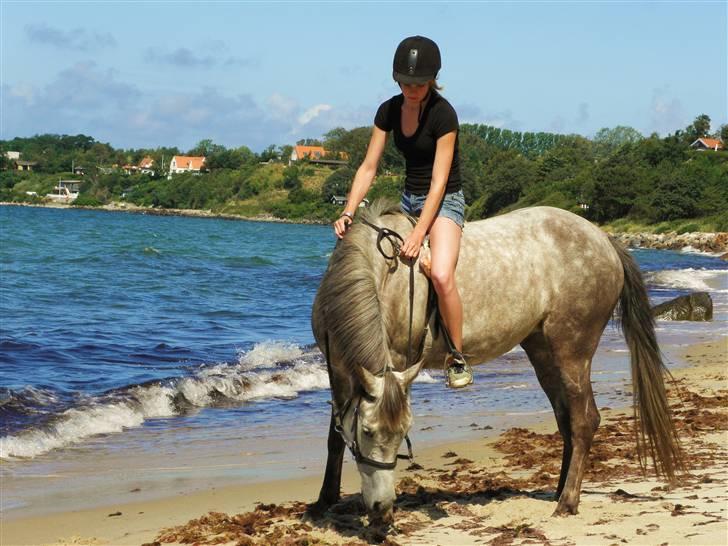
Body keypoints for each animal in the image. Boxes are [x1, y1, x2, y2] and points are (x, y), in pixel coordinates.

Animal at [312, 199, 684, 524]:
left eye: (403, 433)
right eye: (367, 431)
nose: (382, 509)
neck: (381, 277)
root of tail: (604, 239)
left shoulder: (398, 363)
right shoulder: (339, 368)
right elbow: (334, 436)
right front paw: (324, 501)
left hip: (572, 352)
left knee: (584, 421)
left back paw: (567, 501)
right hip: (542, 352)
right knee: (566, 420)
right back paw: (561, 489)